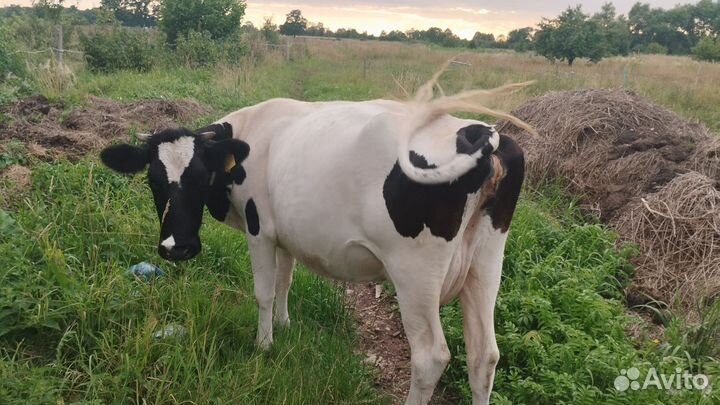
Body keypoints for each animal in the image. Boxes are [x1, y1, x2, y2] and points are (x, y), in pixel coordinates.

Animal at [100, 75, 534, 405]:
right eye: (153, 180)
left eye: (200, 175)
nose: (177, 247)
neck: (252, 132)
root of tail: (482, 132)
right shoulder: (285, 233)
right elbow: (285, 281)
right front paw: (285, 325)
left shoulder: (260, 231)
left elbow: (263, 291)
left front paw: (264, 345)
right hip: (486, 261)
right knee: (484, 356)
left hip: (416, 272)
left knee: (430, 357)